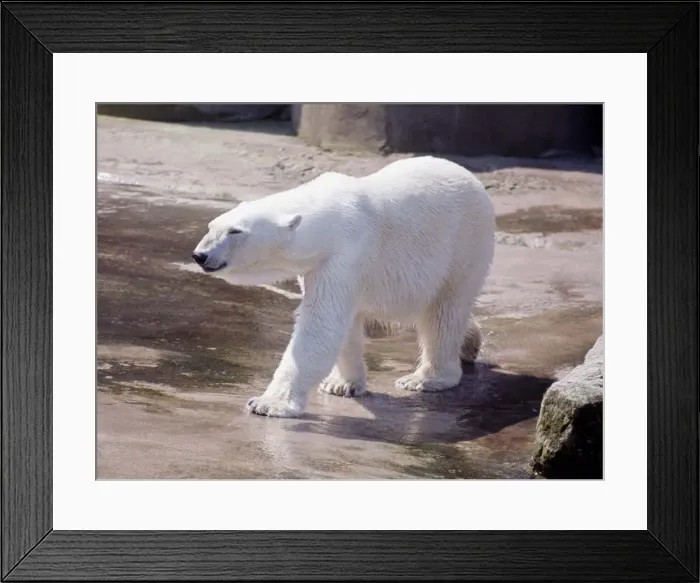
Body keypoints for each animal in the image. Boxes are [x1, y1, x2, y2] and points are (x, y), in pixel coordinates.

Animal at [192, 156, 496, 418]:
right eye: (211, 226)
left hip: (464, 246)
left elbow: (322, 322)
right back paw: (470, 344)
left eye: (236, 231)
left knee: (444, 313)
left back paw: (426, 378)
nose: (200, 255)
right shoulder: (319, 265)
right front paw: (341, 384)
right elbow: (344, 322)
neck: (330, 217)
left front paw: (268, 403)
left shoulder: (347, 253)